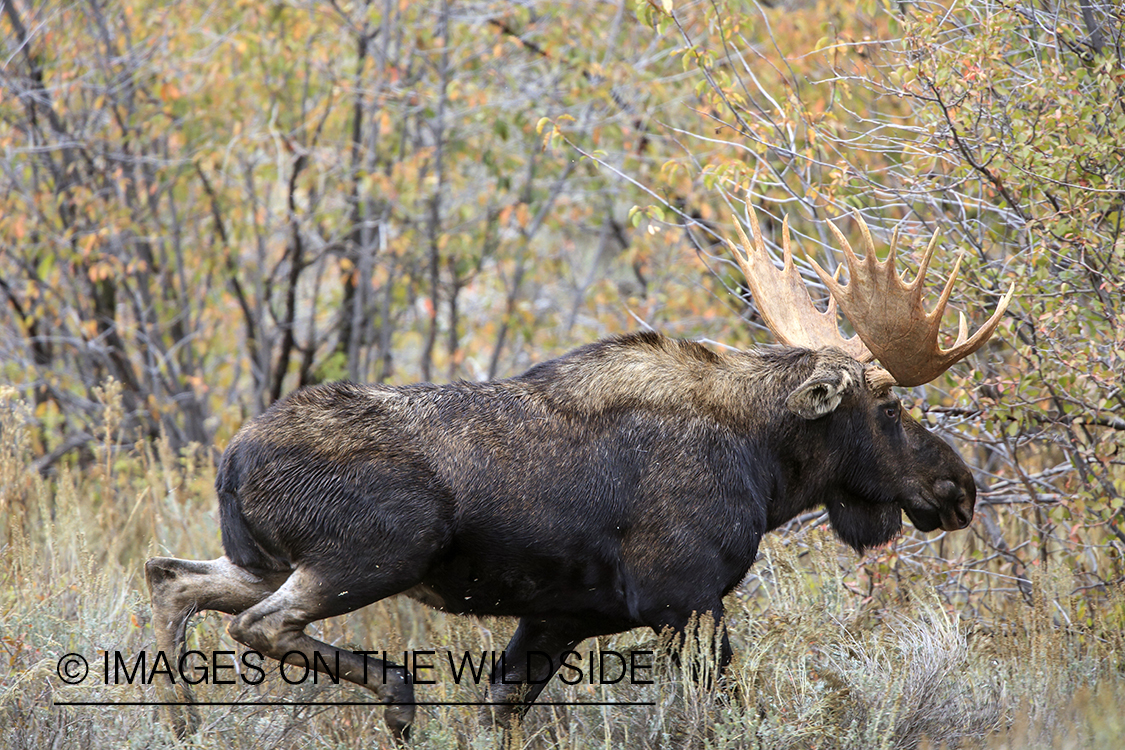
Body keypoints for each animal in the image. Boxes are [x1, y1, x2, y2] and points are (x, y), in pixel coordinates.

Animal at [145, 208, 1017, 742]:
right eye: (888, 405)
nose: (957, 488)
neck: (766, 474)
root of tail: (229, 462)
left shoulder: (560, 615)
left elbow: (501, 710)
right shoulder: (685, 600)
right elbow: (722, 715)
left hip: (268, 558)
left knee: (172, 577)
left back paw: (182, 723)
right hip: (380, 550)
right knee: (256, 623)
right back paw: (393, 696)